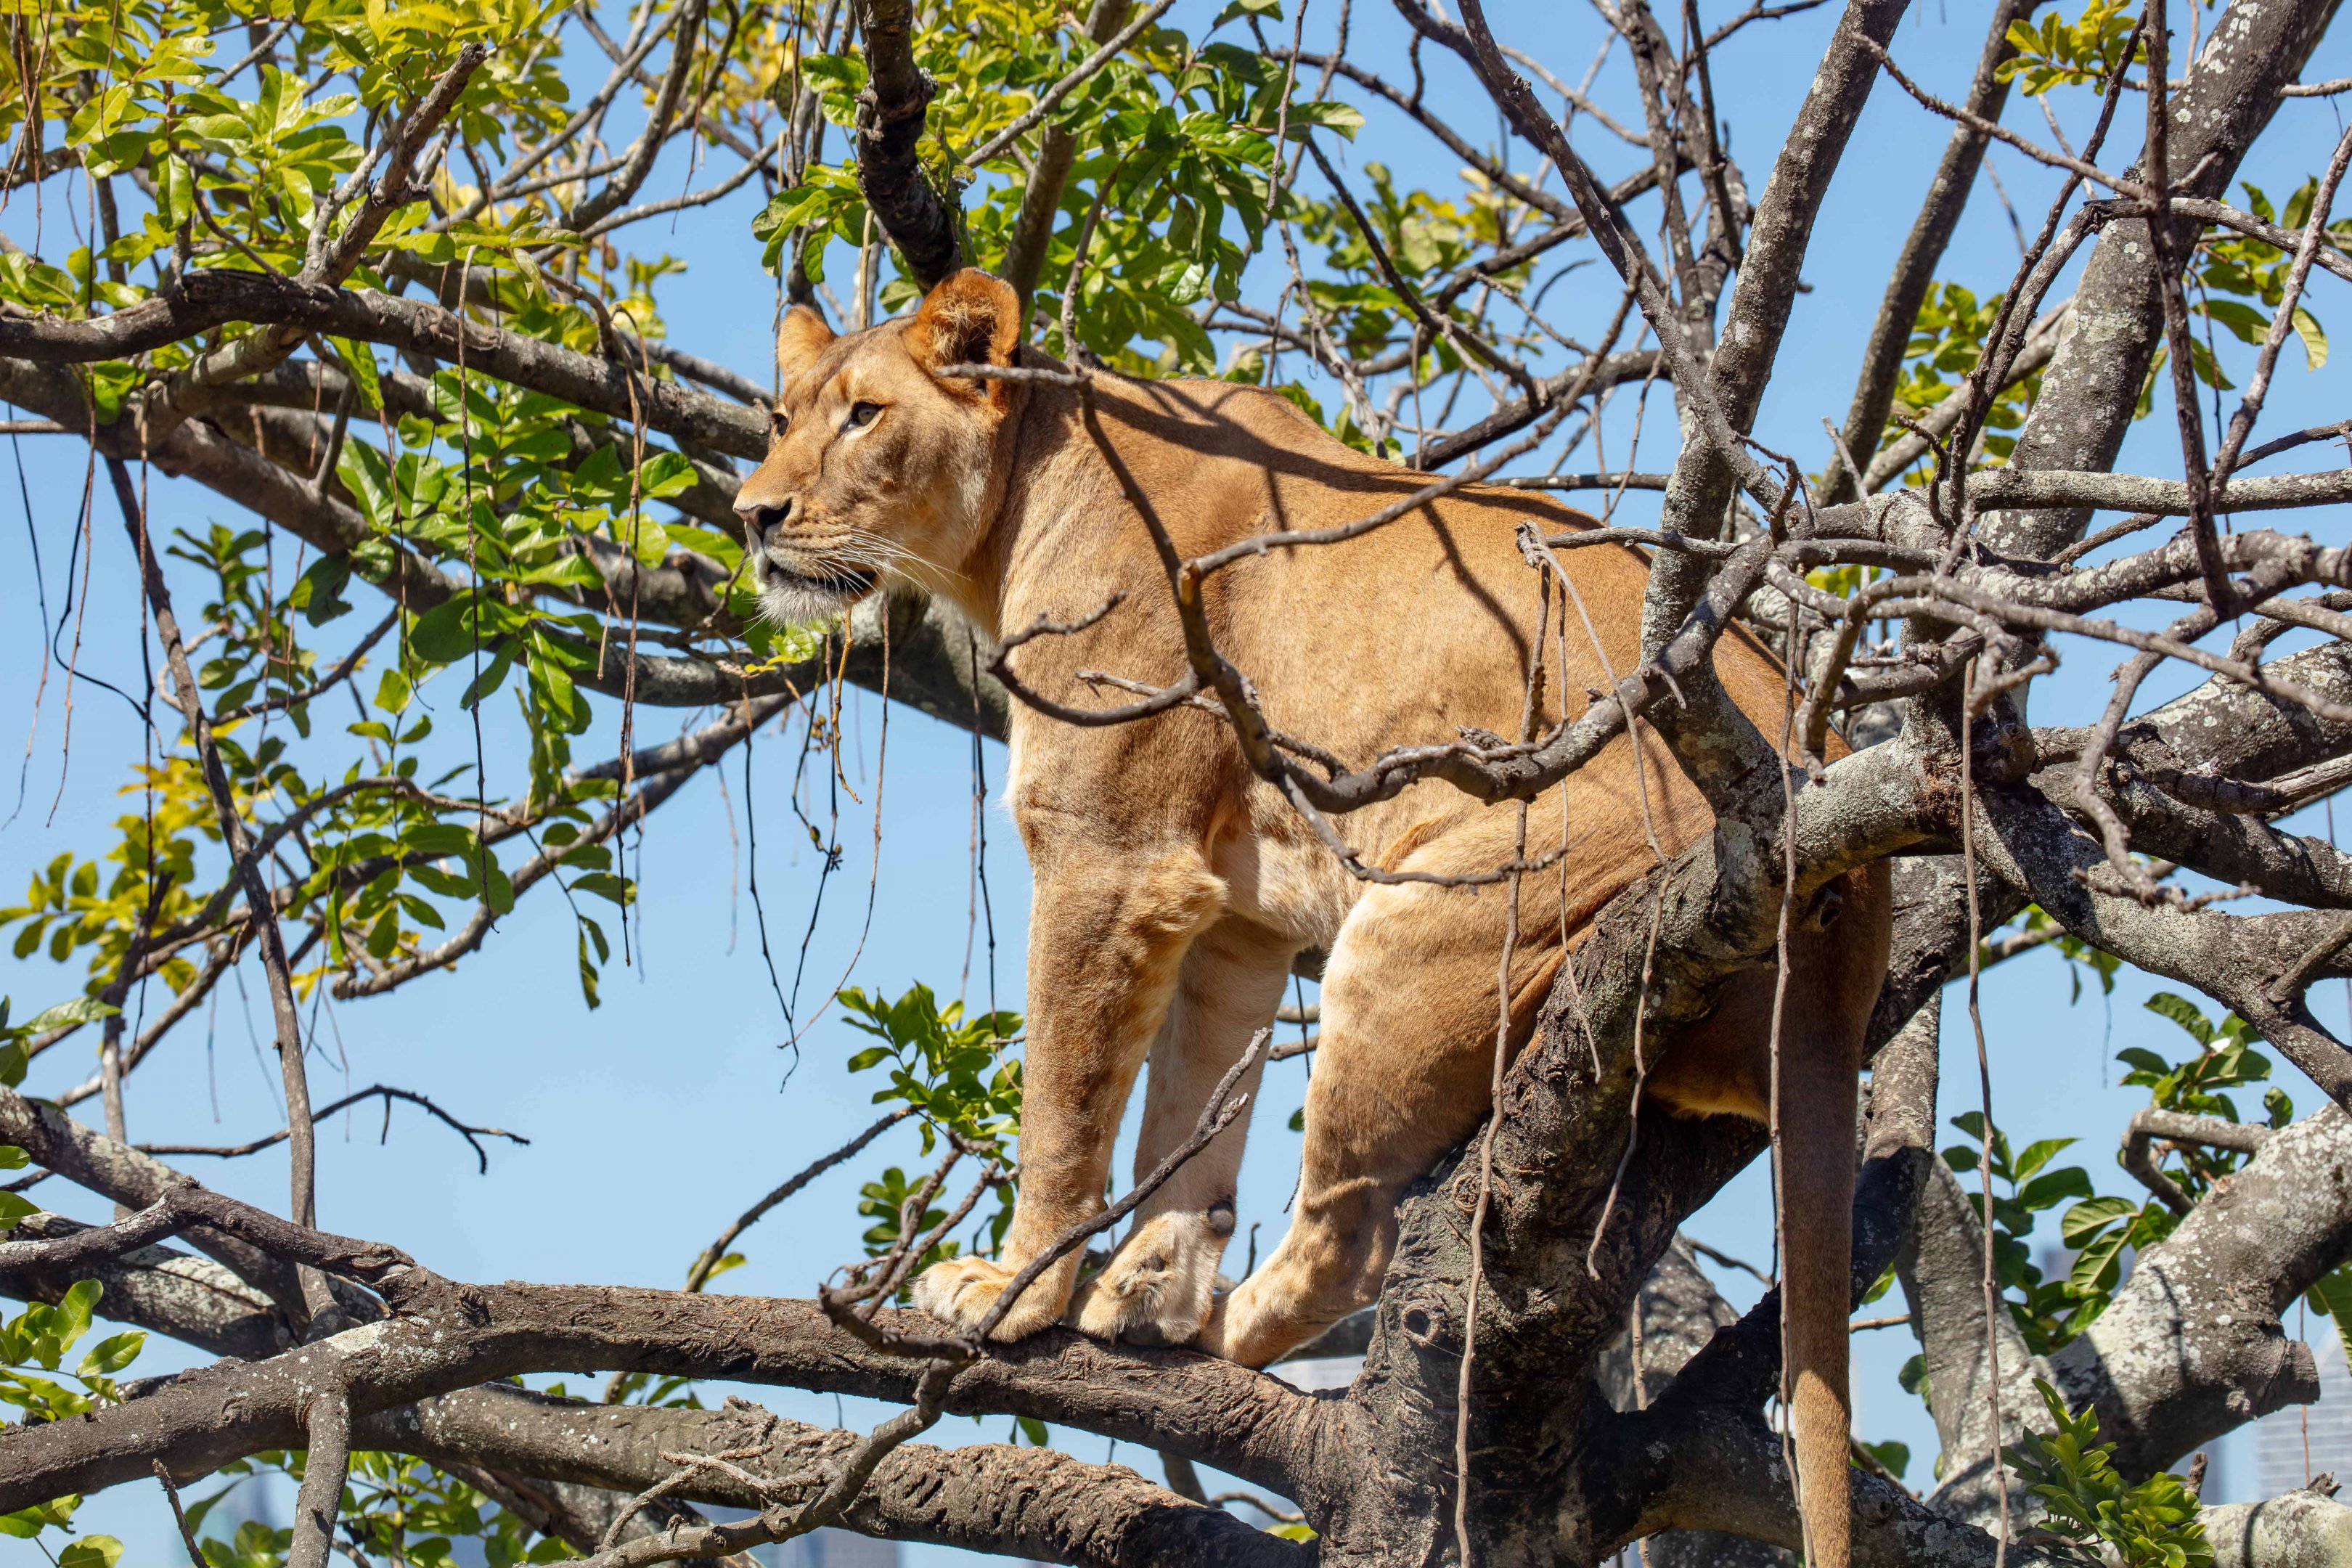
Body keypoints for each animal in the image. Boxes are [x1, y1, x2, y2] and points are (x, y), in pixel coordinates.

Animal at [733, 268, 1890, 1567]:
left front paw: (1015, 1298)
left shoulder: (1107, 862)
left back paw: (1233, 1335)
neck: (1022, 495)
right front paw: (1148, 1290)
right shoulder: (1232, 916)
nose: (752, 515)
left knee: (1355, 1236)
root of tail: (1847, 936)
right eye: (782, 418)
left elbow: (1065, 1107)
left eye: (866, 416)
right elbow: (1190, 1114)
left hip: (1425, 926)